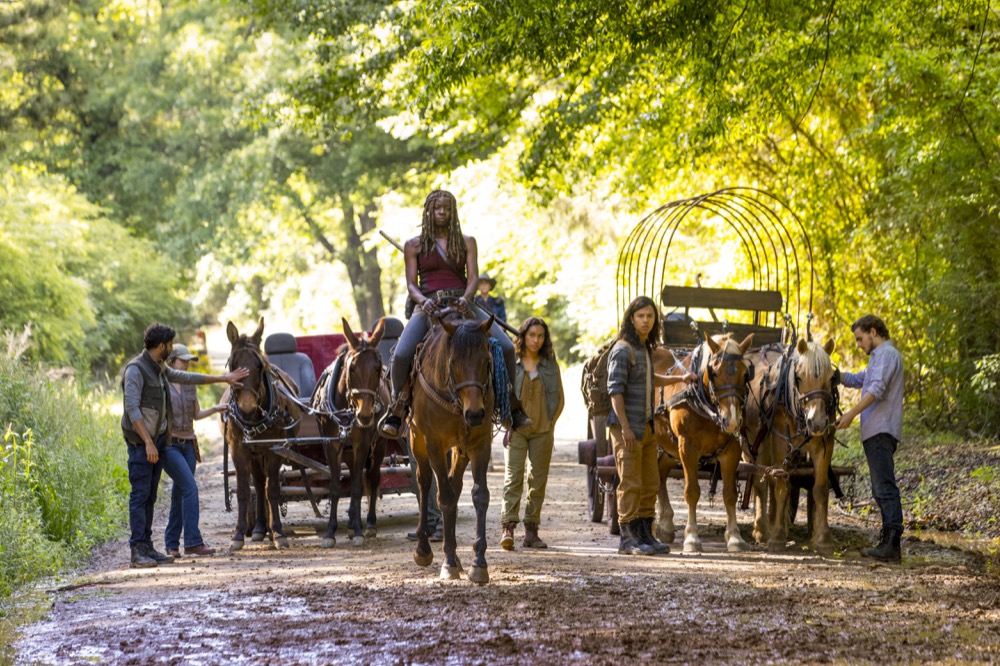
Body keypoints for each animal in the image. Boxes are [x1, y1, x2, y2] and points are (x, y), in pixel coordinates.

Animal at [225, 316, 302, 548]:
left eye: (259, 365)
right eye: (233, 365)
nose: (247, 407)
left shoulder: (274, 449)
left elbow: (273, 490)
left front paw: (278, 532)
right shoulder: (238, 449)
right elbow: (243, 490)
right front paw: (238, 535)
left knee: (264, 485)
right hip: (253, 454)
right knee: (257, 485)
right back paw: (259, 528)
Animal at [310, 320, 388, 548]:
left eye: (378, 368)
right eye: (351, 368)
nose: (365, 414)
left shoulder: (362, 444)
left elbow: (356, 488)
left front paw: (360, 531)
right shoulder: (331, 444)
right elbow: (336, 486)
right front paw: (330, 532)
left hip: (378, 444)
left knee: (372, 478)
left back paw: (367, 524)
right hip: (347, 451)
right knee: (355, 474)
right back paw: (353, 523)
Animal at [410, 310, 496, 580]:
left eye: (486, 361)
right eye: (454, 362)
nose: (475, 414)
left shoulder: (480, 444)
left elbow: (480, 496)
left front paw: (479, 563)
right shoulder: (434, 443)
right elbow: (444, 496)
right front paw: (447, 561)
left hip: (460, 448)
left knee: (454, 484)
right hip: (417, 440)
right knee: (425, 481)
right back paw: (424, 548)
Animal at [652, 330, 752, 552]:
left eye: (745, 374)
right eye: (714, 372)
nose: (732, 420)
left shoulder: (731, 449)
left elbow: (730, 494)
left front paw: (734, 537)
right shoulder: (687, 447)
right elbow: (692, 491)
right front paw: (691, 538)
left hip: (669, 448)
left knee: (660, 474)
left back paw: (665, 524)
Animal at [748, 340, 840, 552]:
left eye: (832, 377)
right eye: (798, 377)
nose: (817, 423)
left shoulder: (824, 445)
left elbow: (820, 490)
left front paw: (823, 539)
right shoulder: (781, 444)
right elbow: (782, 489)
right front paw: (777, 538)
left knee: (770, 480)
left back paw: (774, 522)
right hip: (757, 445)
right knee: (759, 483)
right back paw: (762, 530)